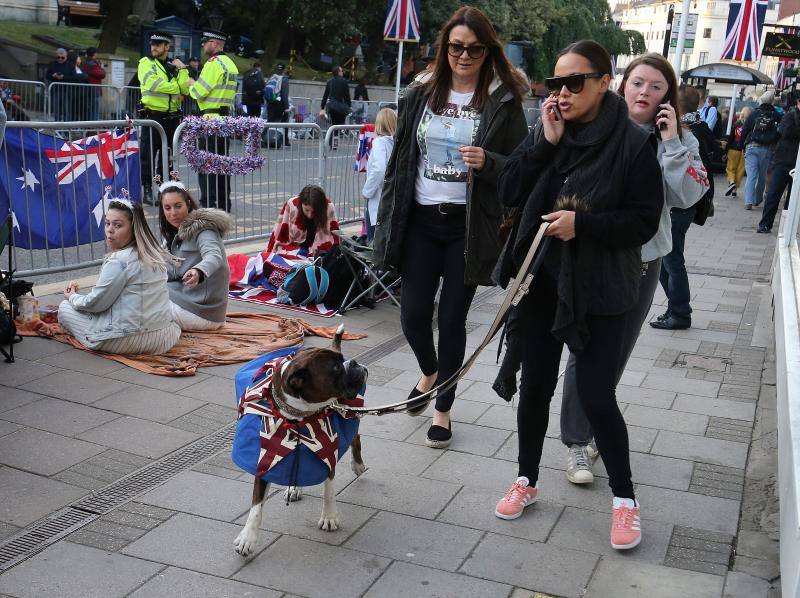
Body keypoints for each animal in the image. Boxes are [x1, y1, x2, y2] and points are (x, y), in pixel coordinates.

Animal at [231, 324, 368, 556]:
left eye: (342, 362)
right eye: (335, 368)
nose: (353, 362)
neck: (297, 417)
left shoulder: (327, 451)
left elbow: (329, 490)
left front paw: (329, 516)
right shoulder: (266, 459)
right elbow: (256, 507)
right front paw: (247, 537)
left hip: (349, 415)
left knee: (354, 437)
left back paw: (357, 464)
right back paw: (294, 488)